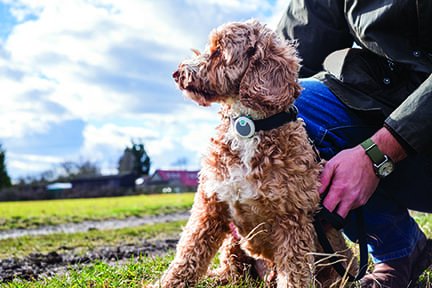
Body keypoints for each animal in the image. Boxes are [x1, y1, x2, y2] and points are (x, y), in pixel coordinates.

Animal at [147, 19, 356, 286]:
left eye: (218, 51)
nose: (177, 73)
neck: (247, 125)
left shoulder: (292, 220)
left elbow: (295, 273)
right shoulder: (210, 206)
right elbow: (188, 253)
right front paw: (166, 283)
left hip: (336, 257)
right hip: (233, 242)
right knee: (232, 271)